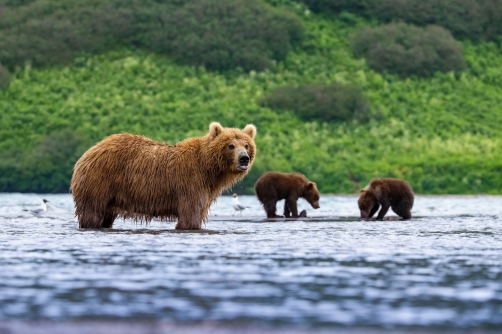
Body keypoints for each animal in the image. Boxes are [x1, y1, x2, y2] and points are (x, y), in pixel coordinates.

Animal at [70, 122, 256, 230]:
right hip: (98, 183)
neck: (209, 170)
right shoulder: (191, 184)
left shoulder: (205, 191)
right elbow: (190, 217)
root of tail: (87, 154)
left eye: (246, 145)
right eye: (230, 145)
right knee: (92, 214)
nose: (244, 158)